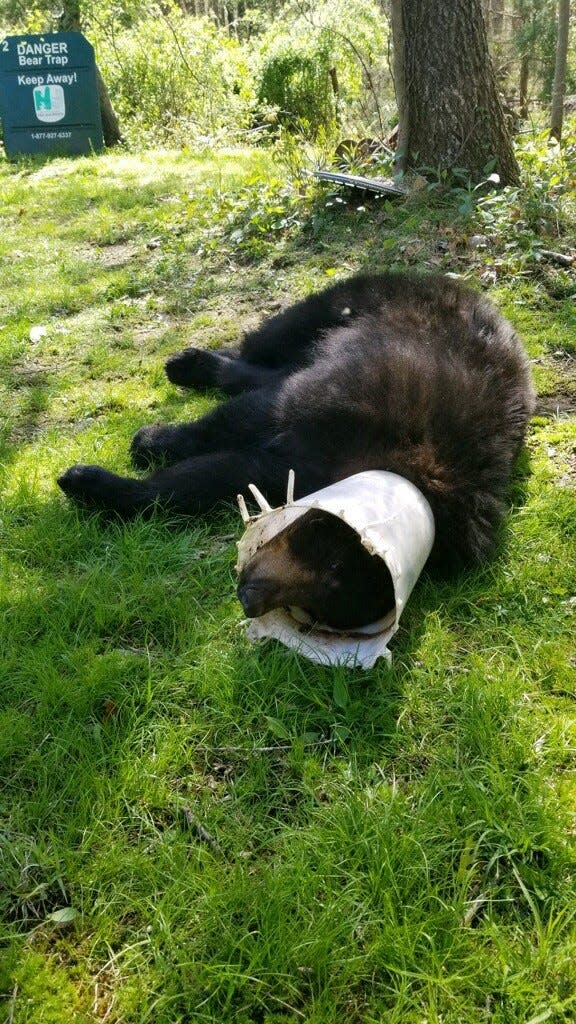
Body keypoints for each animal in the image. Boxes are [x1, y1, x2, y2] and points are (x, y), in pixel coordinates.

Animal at [59, 268, 532, 626]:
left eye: (320, 609)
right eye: (332, 563)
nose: (248, 601)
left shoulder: (292, 467)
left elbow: (208, 479)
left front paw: (108, 485)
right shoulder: (329, 401)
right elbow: (231, 424)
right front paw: (139, 449)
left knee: (266, 372)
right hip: (336, 309)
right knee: (265, 351)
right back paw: (191, 364)